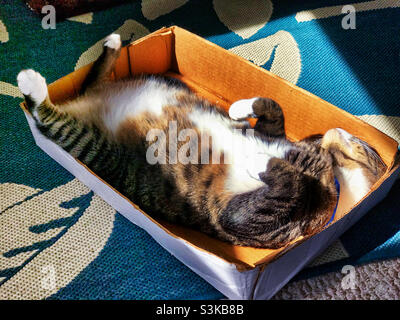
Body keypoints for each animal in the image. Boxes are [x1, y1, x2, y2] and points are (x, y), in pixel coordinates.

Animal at [16, 33, 388, 249]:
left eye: (364, 145)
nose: (343, 132)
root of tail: (89, 104)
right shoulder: (274, 134)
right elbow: (273, 108)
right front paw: (239, 109)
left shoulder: (250, 220)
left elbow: (287, 183)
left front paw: (260, 160)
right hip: (150, 84)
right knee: (88, 82)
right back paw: (111, 45)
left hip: (94, 147)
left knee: (48, 117)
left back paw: (31, 84)